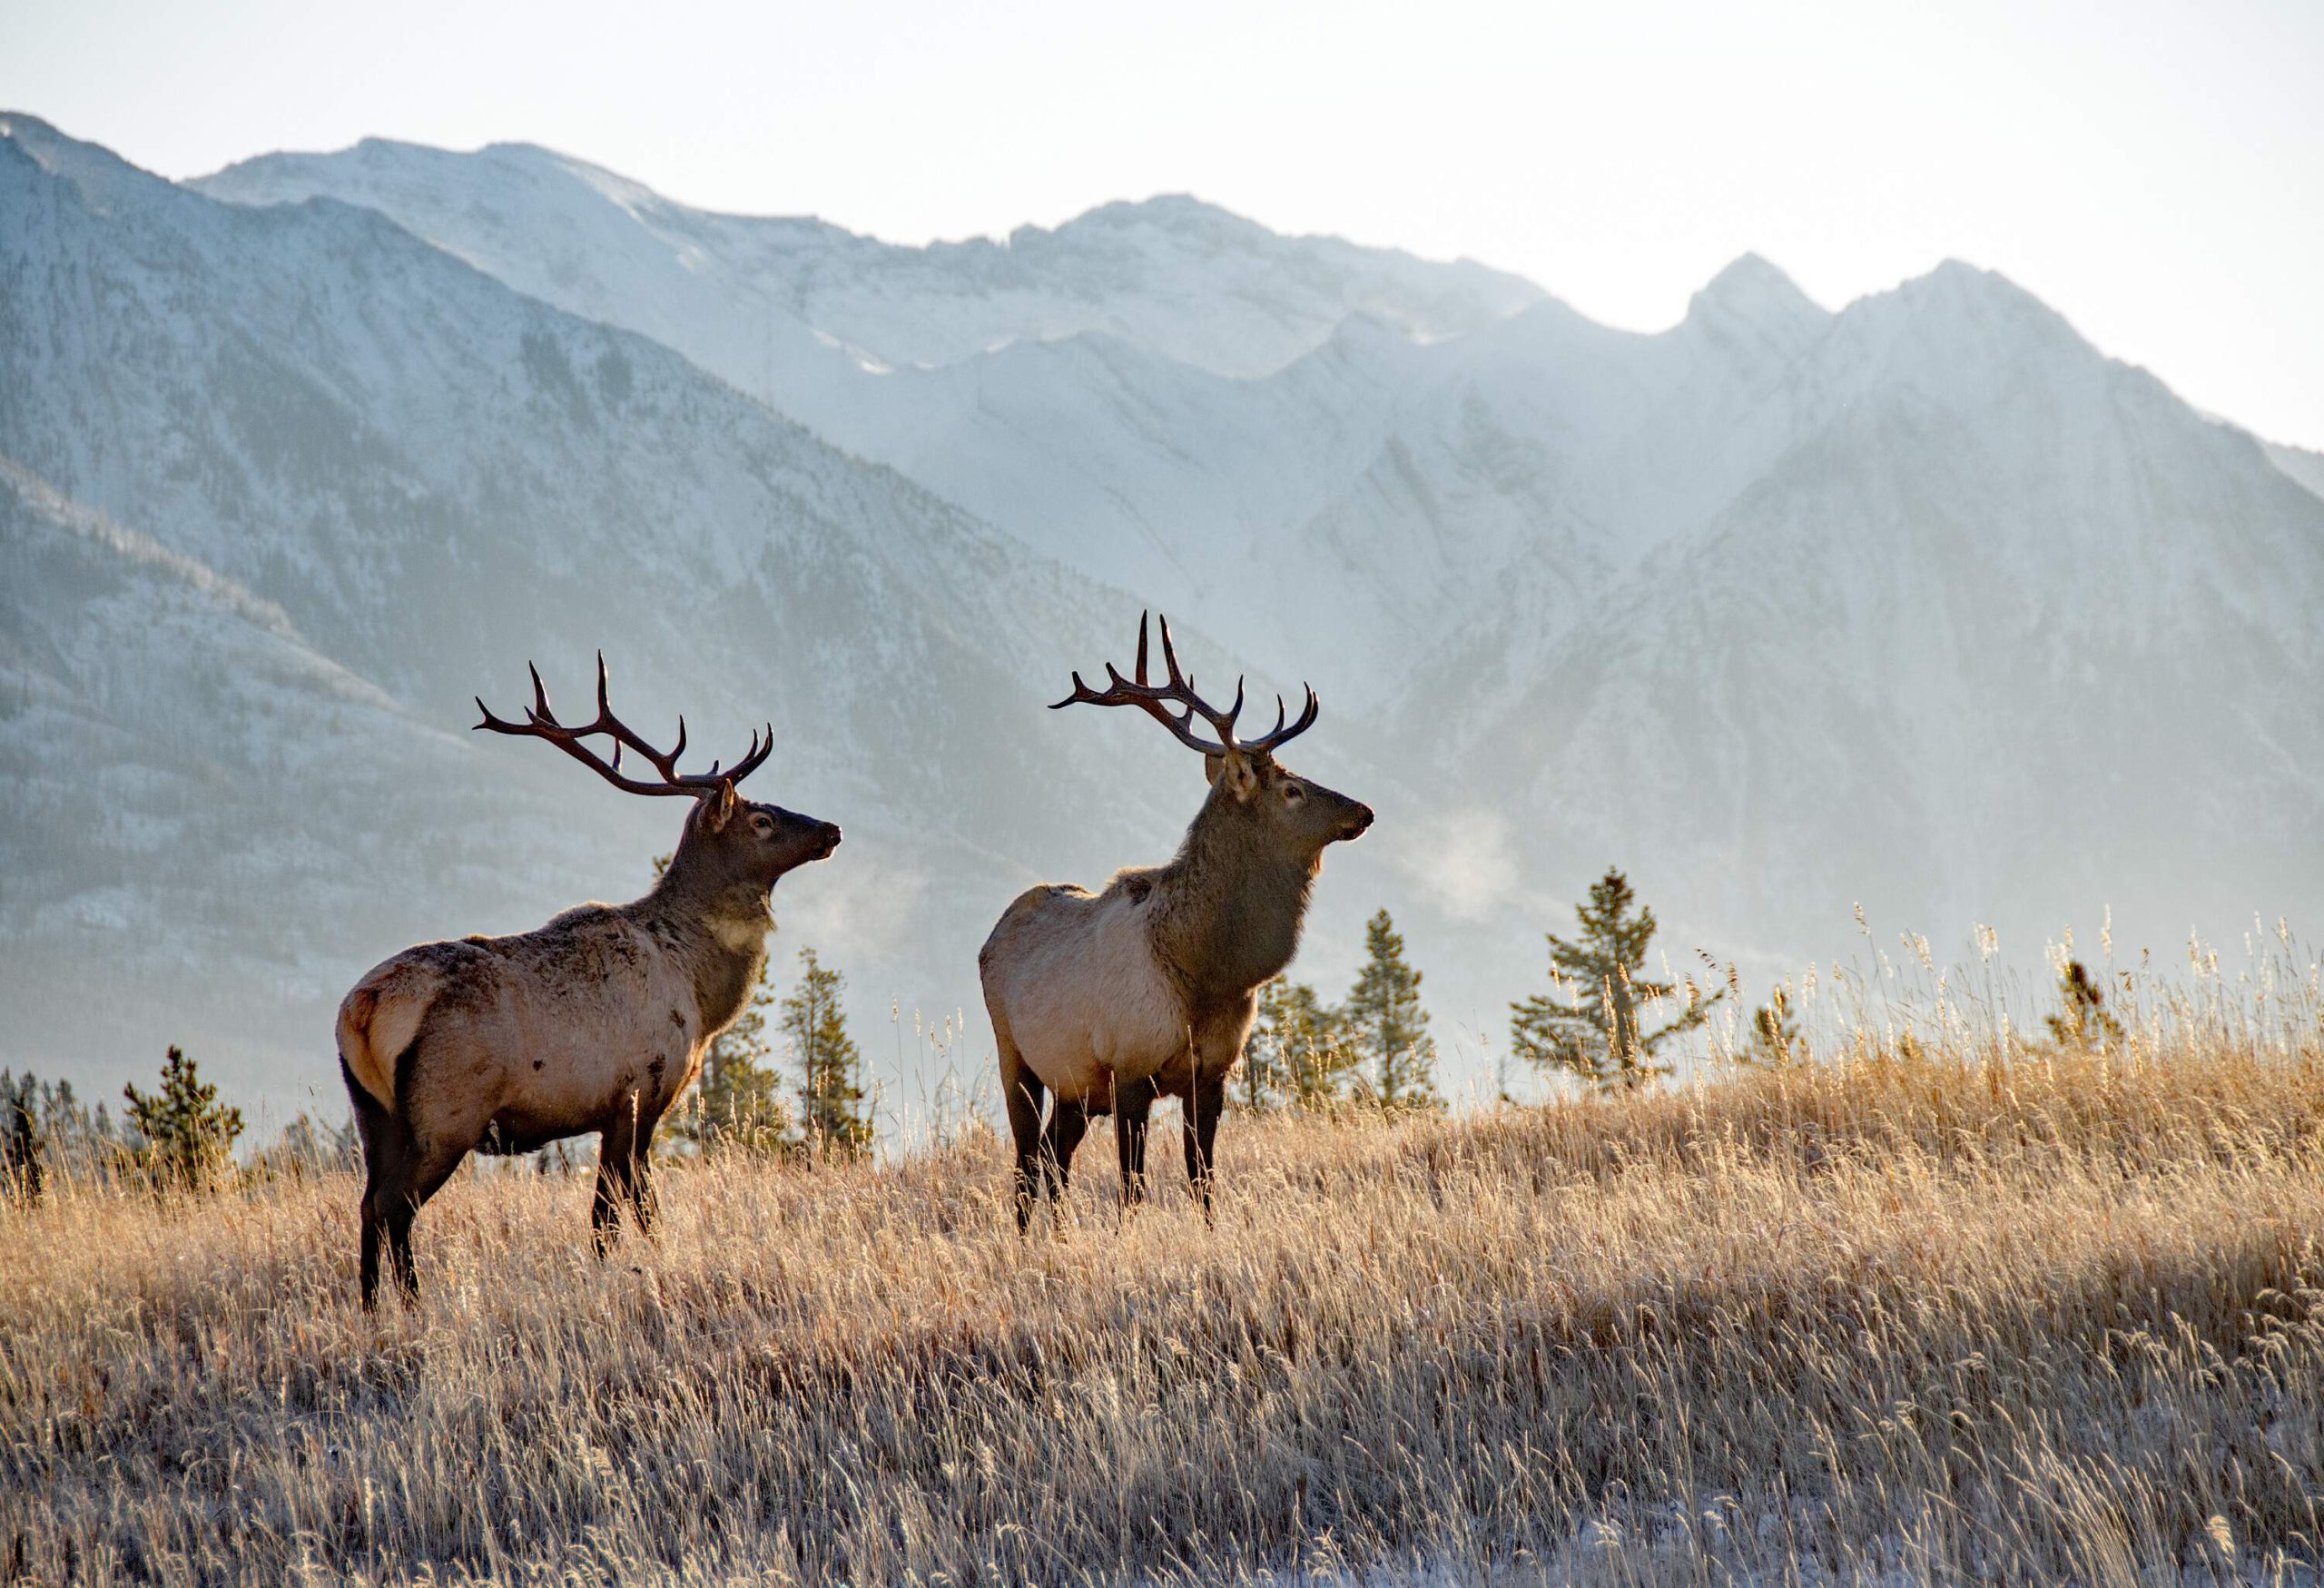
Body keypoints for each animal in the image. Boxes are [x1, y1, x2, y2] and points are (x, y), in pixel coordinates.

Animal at [337, 656, 845, 1302]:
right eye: (762, 819)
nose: (831, 829)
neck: (703, 995)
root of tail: (364, 1008)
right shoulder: (640, 1091)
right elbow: (631, 1209)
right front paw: (644, 1266)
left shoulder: (615, 1109)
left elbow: (608, 1212)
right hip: (446, 1113)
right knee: (394, 1209)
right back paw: (413, 1304)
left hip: (372, 1114)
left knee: (367, 1206)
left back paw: (374, 1308)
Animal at [976, 614, 1366, 1228]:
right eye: (1293, 790)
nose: (1364, 811)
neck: (1206, 973)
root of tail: (993, 935)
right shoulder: (1129, 1070)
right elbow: (1131, 1188)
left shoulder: (1212, 1072)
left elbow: (1202, 1178)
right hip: (1014, 1055)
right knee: (1025, 1160)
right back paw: (1022, 1237)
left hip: (1074, 1085)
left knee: (1054, 1156)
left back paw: (1057, 1235)